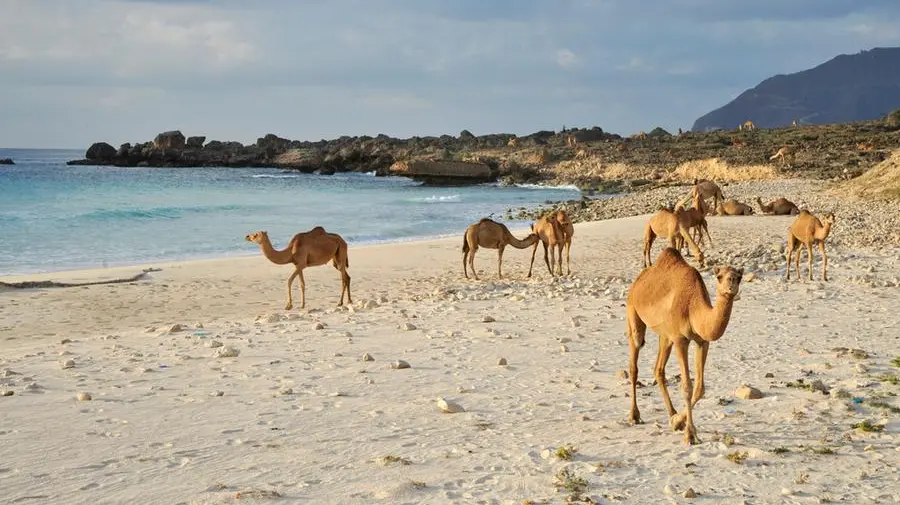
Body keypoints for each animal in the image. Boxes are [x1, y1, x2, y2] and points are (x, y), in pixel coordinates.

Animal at [624, 246, 744, 442]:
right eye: (719, 276)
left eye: (739, 276)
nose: (731, 283)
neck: (694, 307)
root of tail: (638, 281)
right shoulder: (681, 340)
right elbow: (687, 386)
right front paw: (690, 435)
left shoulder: (702, 341)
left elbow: (700, 388)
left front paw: (677, 422)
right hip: (633, 310)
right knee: (634, 360)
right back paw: (634, 415)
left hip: (665, 335)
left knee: (658, 369)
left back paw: (671, 413)